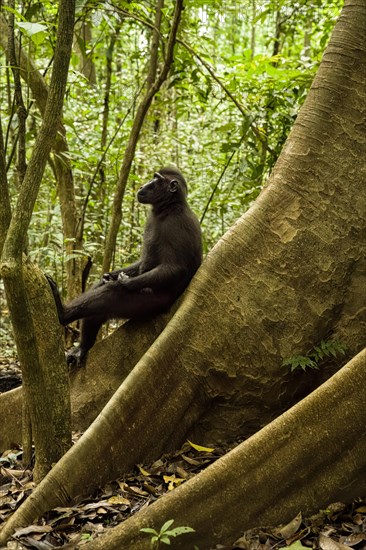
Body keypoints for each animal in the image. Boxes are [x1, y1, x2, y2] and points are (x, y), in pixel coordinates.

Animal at [46, 166, 203, 368]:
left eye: (156, 180)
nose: (143, 185)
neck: (167, 208)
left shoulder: (177, 225)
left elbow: (175, 267)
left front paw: (127, 283)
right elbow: (137, 264)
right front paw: (112, 275)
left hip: (151, 303)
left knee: (111, 294)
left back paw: (63, 312)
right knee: (101, 294)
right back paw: (83, 346)